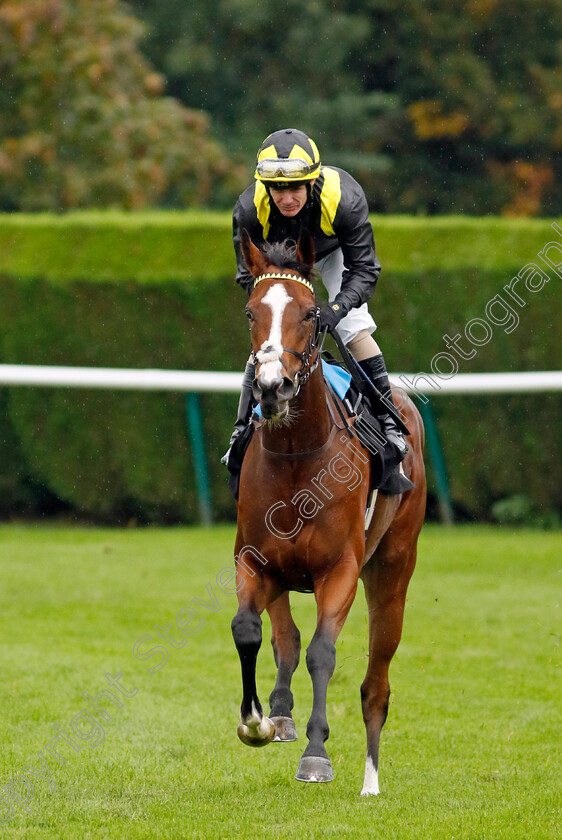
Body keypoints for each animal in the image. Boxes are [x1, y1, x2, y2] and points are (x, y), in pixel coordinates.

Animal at [229, 230, 424, 796]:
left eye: (312, 312)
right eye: (251, 311)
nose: (272, 386)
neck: (298, 452)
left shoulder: (339, 570)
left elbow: (322, 652)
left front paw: (317, 754)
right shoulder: (255, 560)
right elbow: (252, 631)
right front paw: (256, 721)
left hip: (393, 570)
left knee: (376, 682)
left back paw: (371, 779)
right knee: (285, 639)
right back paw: (280, 714)